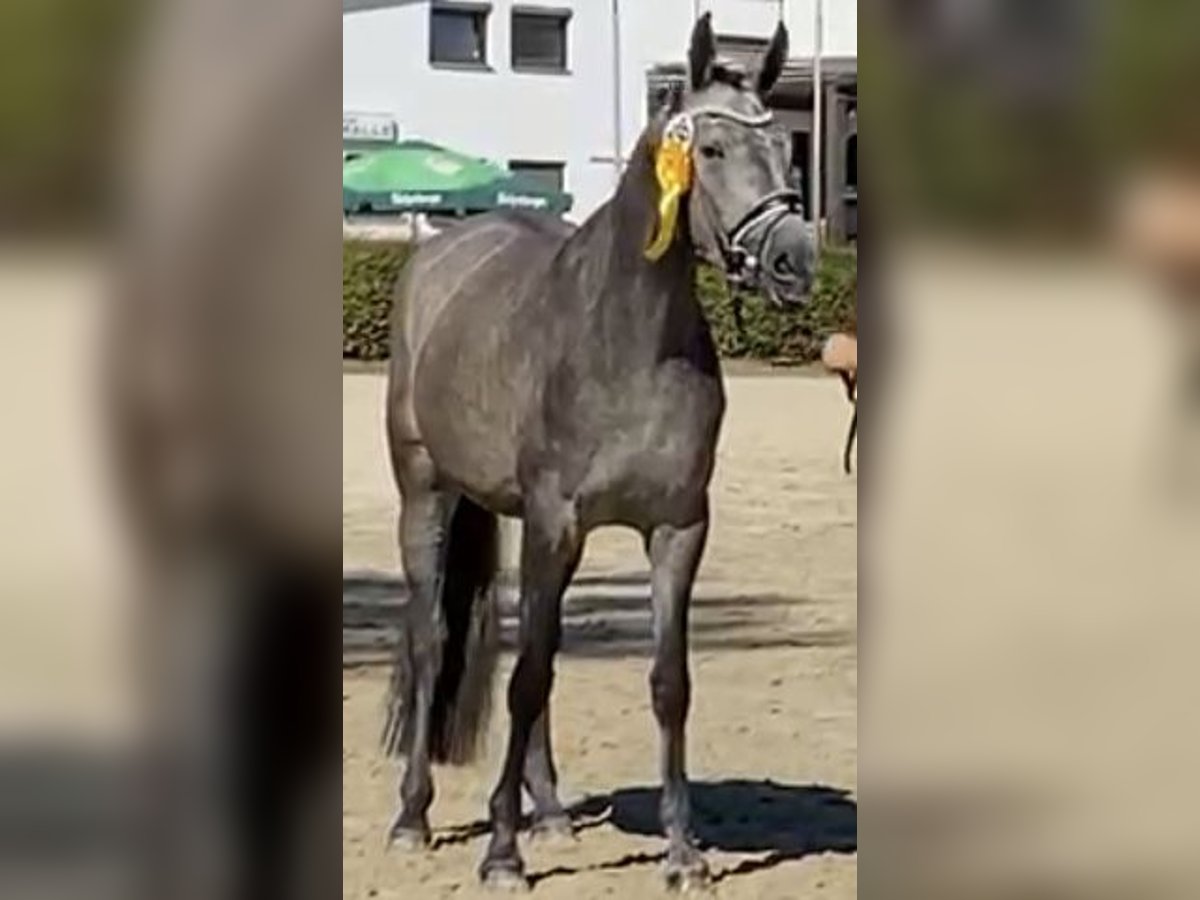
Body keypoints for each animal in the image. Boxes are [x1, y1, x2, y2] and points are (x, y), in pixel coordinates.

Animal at [381, 14, 816, 897]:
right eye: (711, 149)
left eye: (786, 149)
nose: (796, 258)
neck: (627, 342)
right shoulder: (558, 523)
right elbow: (527, 678)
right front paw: (500, 853)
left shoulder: (677, 529)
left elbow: (666, 682)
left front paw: (682, 853)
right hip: (426, 491)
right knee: (433, 638)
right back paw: (415, 818)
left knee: (526, 646)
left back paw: (548, 812)